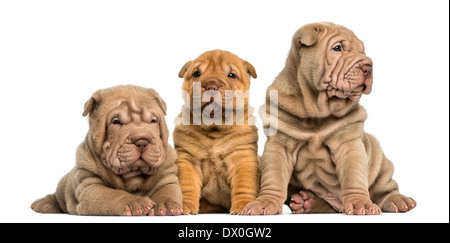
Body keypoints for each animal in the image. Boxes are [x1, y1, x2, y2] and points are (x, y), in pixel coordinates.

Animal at [30, 85, 183, 216]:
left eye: (153, 121)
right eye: (116, 122)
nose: (142, 140)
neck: (133, 174)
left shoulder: (167, 176)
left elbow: (167, 191)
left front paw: (165, 205)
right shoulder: (90, 186)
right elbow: (113, 194)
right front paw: (135, 202)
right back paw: (44, 204)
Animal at [174, 49, 258, 215]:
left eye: (231, 75)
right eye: (197, 73)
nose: (211, 85)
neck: (214, 129)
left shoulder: (242, 157)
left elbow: (244, 184)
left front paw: (243, 206)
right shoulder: (188, 159)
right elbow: (187, 185)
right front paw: (185, 206)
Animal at [243, 22, 418, 215]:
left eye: (362, 51)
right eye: (337, 48)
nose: (368, 67)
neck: (317, 110)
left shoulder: (349, 144)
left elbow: (353, 176)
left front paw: (360, 204)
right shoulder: (279, 145)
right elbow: (274, 178)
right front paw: (264, 203)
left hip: (377, 156)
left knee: (385, 187)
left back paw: (398, 201)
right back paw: (305, 202)